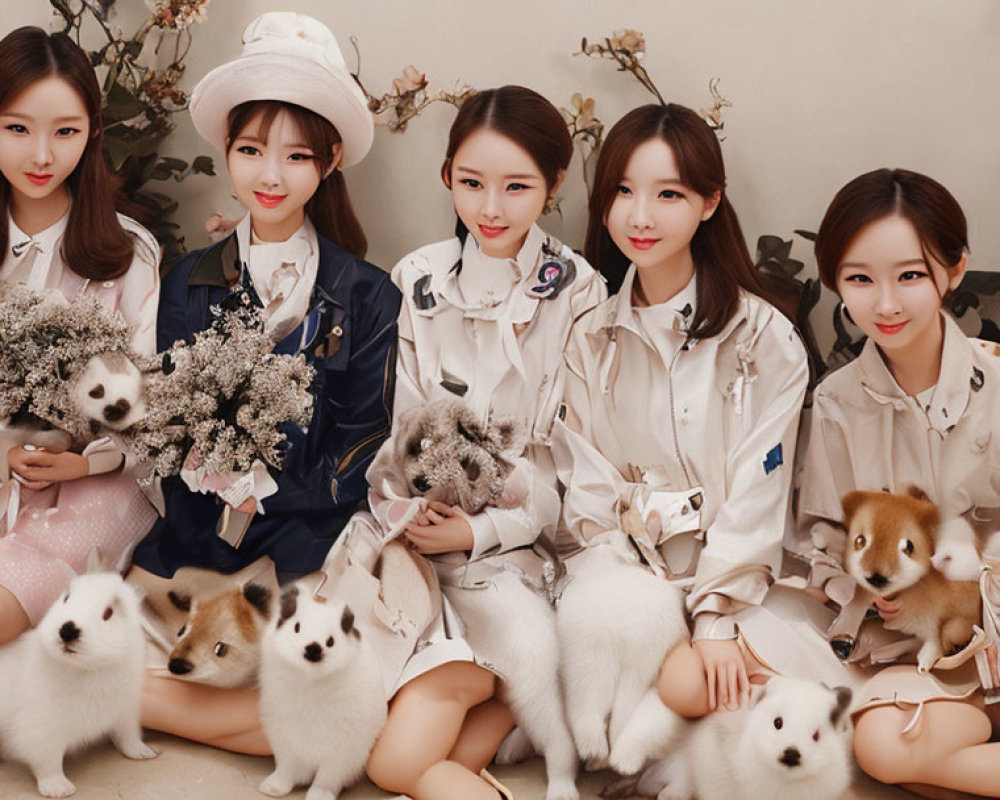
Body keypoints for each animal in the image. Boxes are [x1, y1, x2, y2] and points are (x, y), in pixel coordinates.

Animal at [0, 568, 154, 792]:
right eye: (66, 599)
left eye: (108, 613)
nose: (67, 630)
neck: (89, 669)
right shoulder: (42, 730)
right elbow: (49, 763)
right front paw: (58, 788)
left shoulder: (125, 713)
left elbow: (127, 737)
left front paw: (143, 752)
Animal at [260, 580, 384, 800]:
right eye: (297, 627)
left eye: (331, 641)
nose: (313, 648)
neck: (310, 680)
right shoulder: (284, 741)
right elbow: (285, 768)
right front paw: (274, 788)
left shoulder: (343, 751)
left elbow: (328, 778)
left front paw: (319, 795)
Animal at [836, 490, 984, 672]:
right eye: (859, 541)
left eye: (909, 547)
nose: (877, 577)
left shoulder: (932, 626)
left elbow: (932, 647)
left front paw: (924, 665)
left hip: (954, 627)